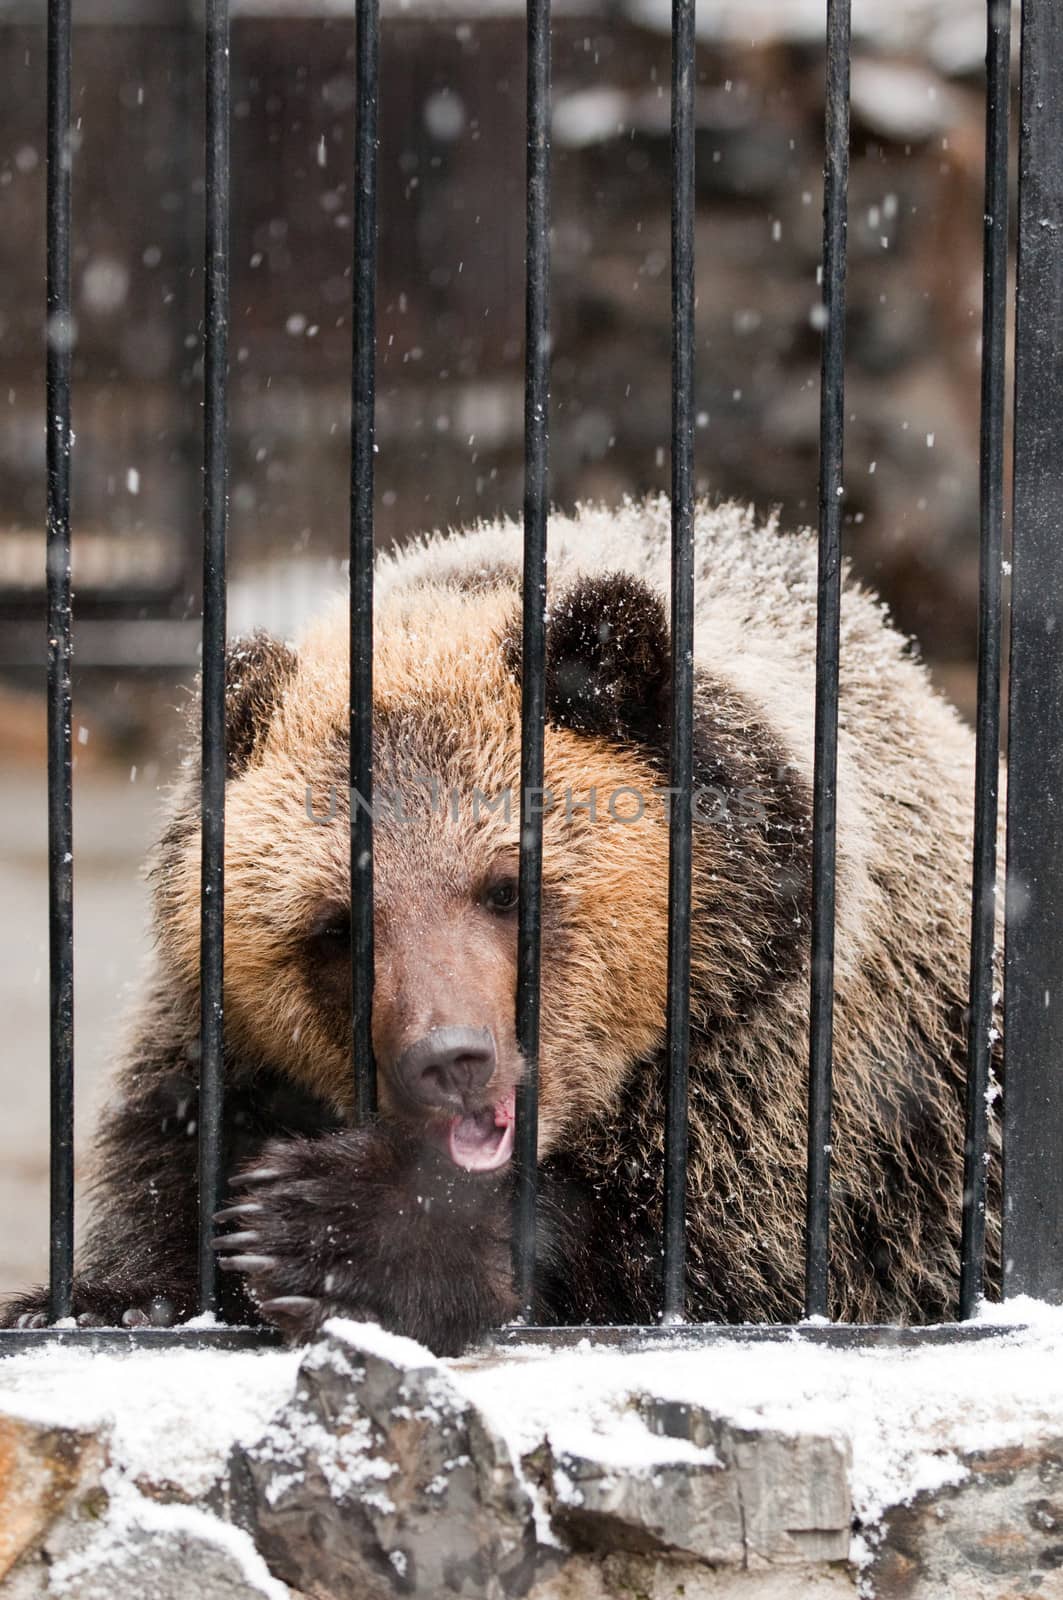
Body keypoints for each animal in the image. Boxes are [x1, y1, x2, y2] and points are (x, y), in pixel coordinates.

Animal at [0, 499, 998, 1350]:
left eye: (507, 886)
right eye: (339, 924)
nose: (448, 1058)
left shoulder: (804, 1077)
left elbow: (707, 1254)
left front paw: (337, 1231)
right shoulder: (216, 1045)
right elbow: (163, 1164)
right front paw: (114, 1298)